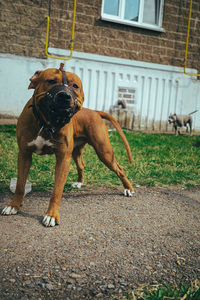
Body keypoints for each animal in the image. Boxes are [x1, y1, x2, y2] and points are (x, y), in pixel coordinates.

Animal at [1, 65, 134, 225]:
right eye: (51, 81)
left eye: (75, 86)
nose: (65, 95)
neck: (46, 124)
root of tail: (94, 111)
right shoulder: (24, 155)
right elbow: (20, 185)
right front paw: (13, 206)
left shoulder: (63, 159)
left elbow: (57, 191)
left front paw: (52, 215)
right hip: (77, 151)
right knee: (81, 165)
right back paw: (79, 183)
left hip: (104, 151)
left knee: (119, 168)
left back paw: (128, 188)